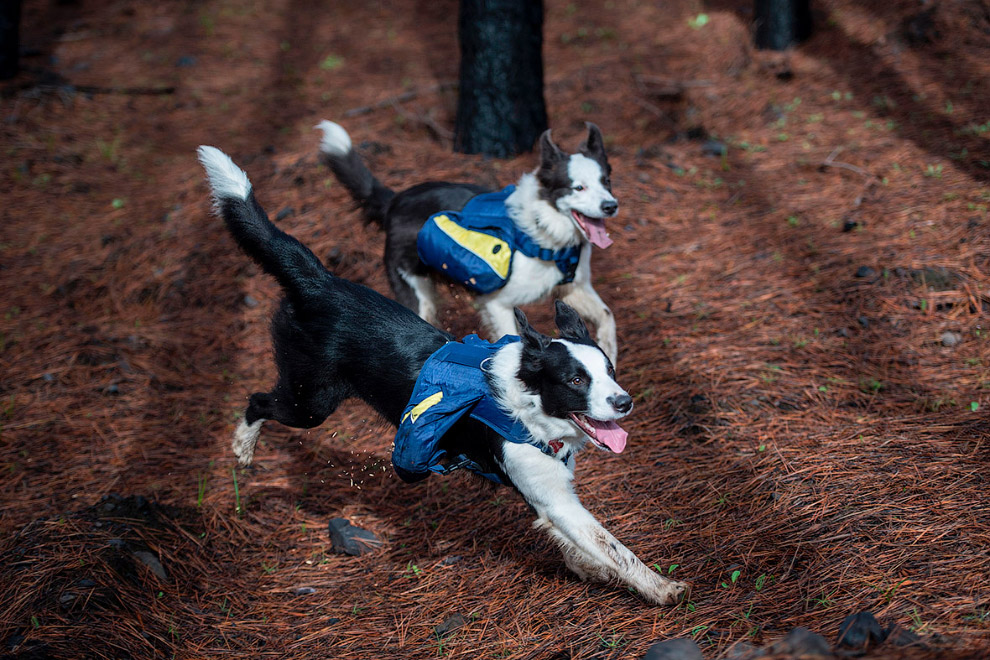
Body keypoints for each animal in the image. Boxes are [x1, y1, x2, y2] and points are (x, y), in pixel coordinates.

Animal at [198, 146, 684, 608]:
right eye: (575, 381)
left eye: (610, 371)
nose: (625, 402)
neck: (530, 408)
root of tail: (320, 282)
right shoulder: (557, 497)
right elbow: (615, 548)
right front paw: (661, 588)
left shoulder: (550, 493)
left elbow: (576, 543)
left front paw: (586, 569)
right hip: (309, 402)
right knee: (258, 400)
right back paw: (242, 448)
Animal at [314, 119, 620, 366]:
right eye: (578, 187)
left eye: (606, 181)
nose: (611, 206)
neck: (544, 228)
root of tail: (395, 201)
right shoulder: (498, 304)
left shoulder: (572, 288)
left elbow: (608, 316)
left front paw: (607, 354)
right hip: (416, 294)